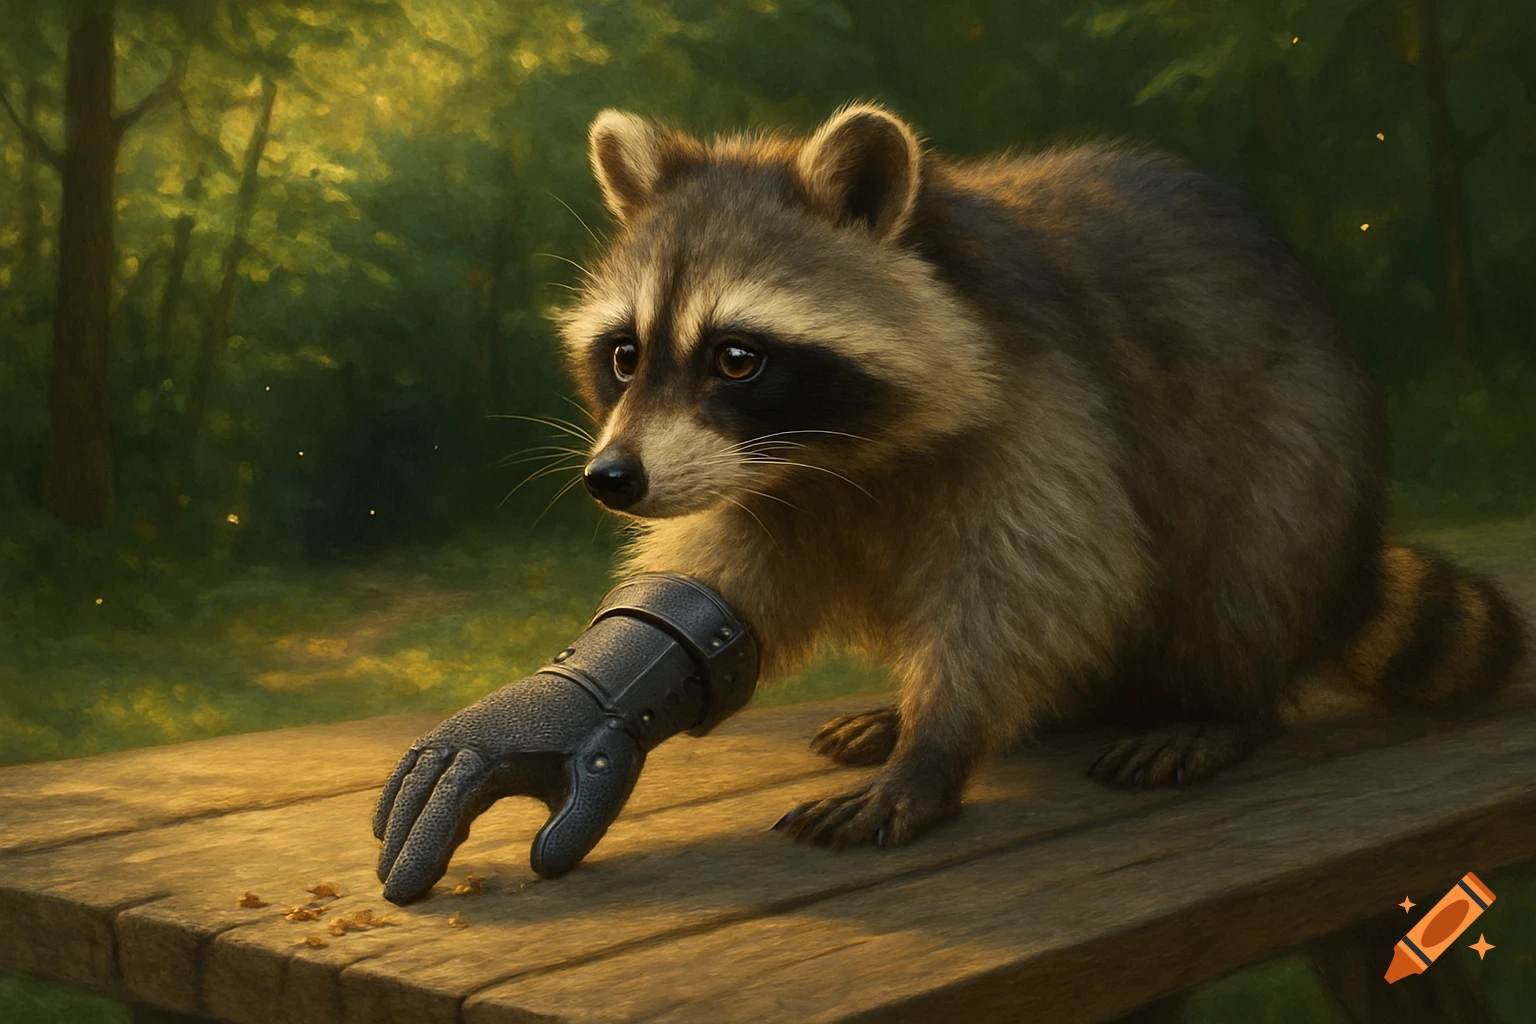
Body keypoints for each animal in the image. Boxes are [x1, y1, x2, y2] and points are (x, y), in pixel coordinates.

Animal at [554, 102, 1527, 850]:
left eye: (736, 358)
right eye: (626, 354)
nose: (613, 479)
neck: (834, 456)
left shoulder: (1047, 408)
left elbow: (1040, 582)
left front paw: (935, 746)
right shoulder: (762, 481)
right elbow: (728, 585)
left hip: (1301, 447)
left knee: (1243, 564)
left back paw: (1223, 702)